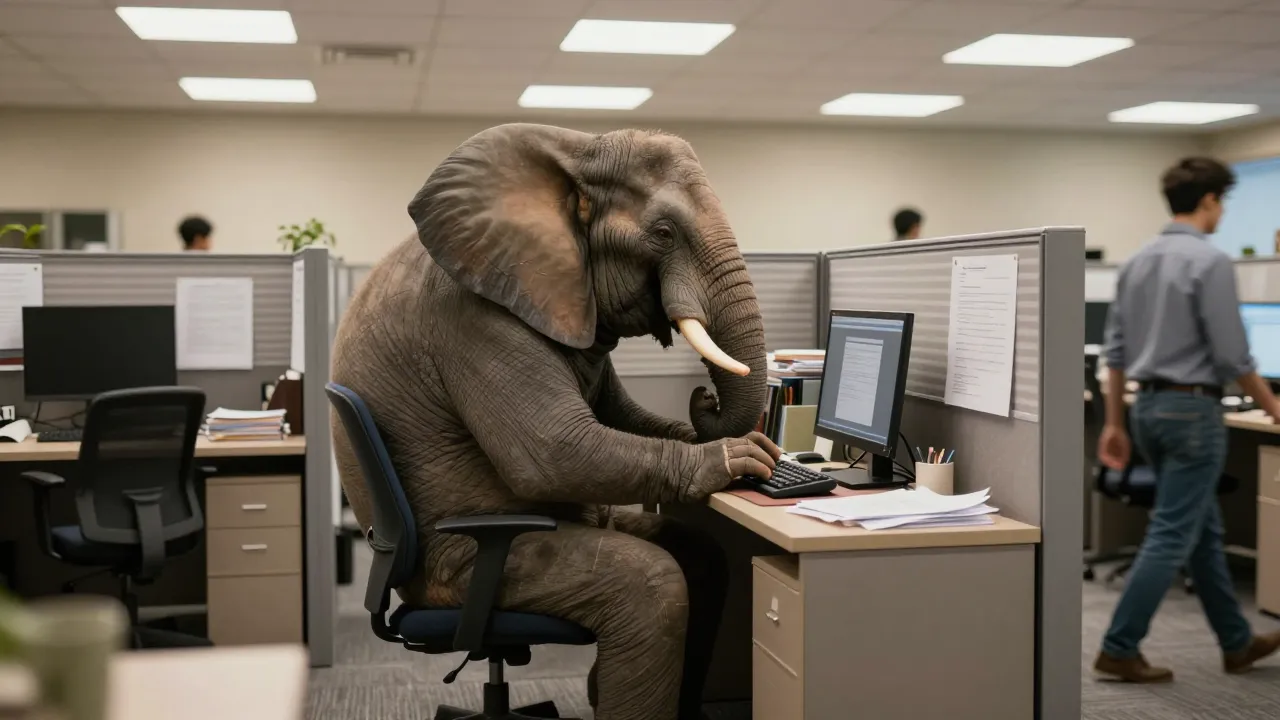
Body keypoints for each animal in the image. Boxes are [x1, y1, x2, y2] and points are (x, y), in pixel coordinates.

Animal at [331, 123, 780, 720]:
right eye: (663, 232)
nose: (702, 395)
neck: (577, 149)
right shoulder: (474, 319)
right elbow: (554, 450)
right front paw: (742, 458)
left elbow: (620, 421)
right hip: (476, 574)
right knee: (653, 593)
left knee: (704, 562)